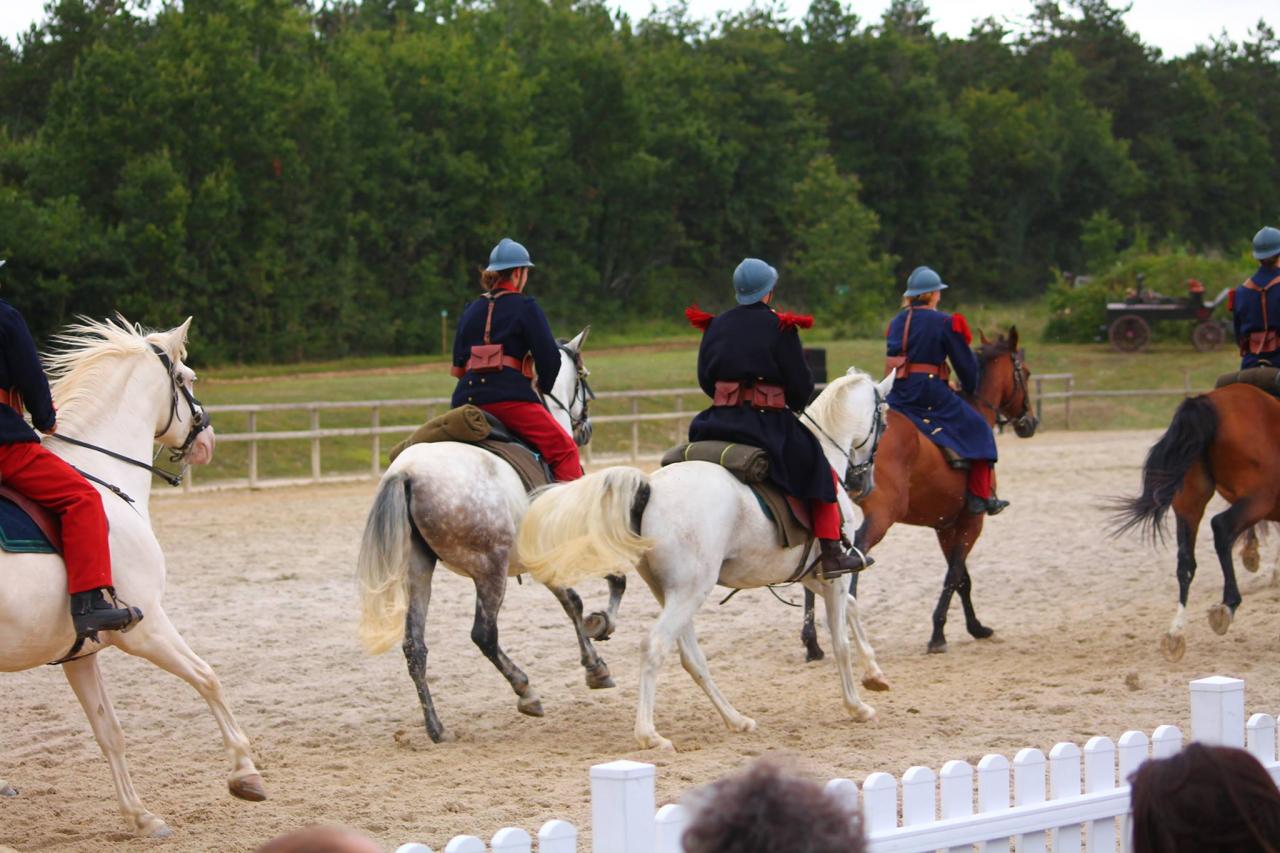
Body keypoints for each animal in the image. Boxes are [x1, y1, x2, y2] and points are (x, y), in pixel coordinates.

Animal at [0, 315, 263, 835]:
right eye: (187, 379)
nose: (208, 442)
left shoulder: (80, 652)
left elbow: (109, 730)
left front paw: (140, 815)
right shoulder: (146, 628)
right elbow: (208, 678)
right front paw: (245, 771)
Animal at [358, 327, 627, 742]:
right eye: (584, 377)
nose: (586, 428)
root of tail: (407, 473)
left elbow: (572, 602)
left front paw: (595, 659)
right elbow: (597, 590)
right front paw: (599, 644)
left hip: (418, 570)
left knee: (414, 646)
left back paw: (436, 727)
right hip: (490, 570)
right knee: (484, 635)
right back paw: (525, 691)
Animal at [514, 368, 896, 747]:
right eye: (885, 419)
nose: (865, 485)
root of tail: (652, 489)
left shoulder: (813, 575)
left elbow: (853, 608)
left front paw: (875, 674)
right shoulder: (834, 575)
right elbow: (840, 640)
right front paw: (857, 706)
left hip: (673, 594)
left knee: (691, 658)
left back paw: (736, 719)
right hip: (691, 592)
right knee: (655, 646)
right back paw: (649, 734)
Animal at [798, 324, 1039, 650]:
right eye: (1024, 372)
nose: (1030, 422)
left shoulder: (945, 526)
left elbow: (963, 579)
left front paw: (976, 627)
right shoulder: (970, 522)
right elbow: (954, 575)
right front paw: (938, 633)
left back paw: (812, 643)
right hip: (883, 514)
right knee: (855, 555)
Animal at [1111, 381, 1280, 660]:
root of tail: (1206, 403)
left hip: (1189, 502)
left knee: (1185, 562)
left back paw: (1176, 632)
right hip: (1259, 499)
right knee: (1221, 527)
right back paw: (1227, 606)